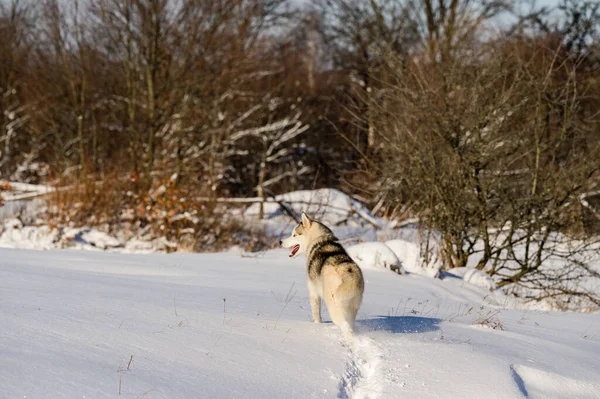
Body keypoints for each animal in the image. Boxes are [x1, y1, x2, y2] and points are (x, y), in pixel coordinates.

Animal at [278, 212, 364, 340]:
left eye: (294, 235)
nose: (280, 242)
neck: (318, 240)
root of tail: (348, 271)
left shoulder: (313, 292)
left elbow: (316, 314)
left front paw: (316, 325)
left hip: (332, 306)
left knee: (345, 326)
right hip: (353, 308)